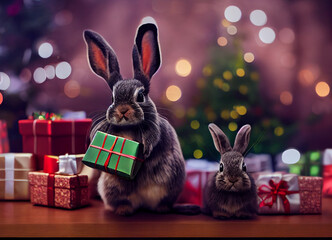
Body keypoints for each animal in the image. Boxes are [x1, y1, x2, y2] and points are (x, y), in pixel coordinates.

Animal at [81, 16, 188, 216]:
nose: (123, 110)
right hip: (112, 187)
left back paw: (161, 209)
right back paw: (124, 210)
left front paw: (145, 151)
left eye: (140, 96)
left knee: (163, 202)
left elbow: (153, 138)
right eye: (112, 97)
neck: (129, 128)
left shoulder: (154, 129)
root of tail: (144, 204)